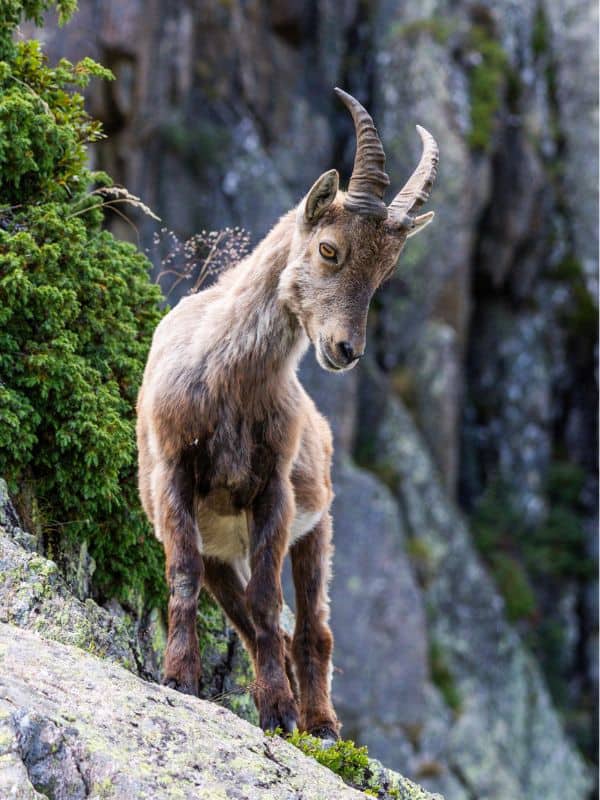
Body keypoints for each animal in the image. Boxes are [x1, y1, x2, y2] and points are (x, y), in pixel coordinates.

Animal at [137, 88, 438, 739]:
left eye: (384, 273)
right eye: (329, 249)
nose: (346, 350)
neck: (229, 376)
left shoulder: (272, 489)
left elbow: (269, 604)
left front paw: (276, 710)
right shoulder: (175, 474)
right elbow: (183, 576)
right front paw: (179, 678)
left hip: (317, 529)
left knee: (312, 629)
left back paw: (318, 720)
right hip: (226, 552)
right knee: (250, 623)